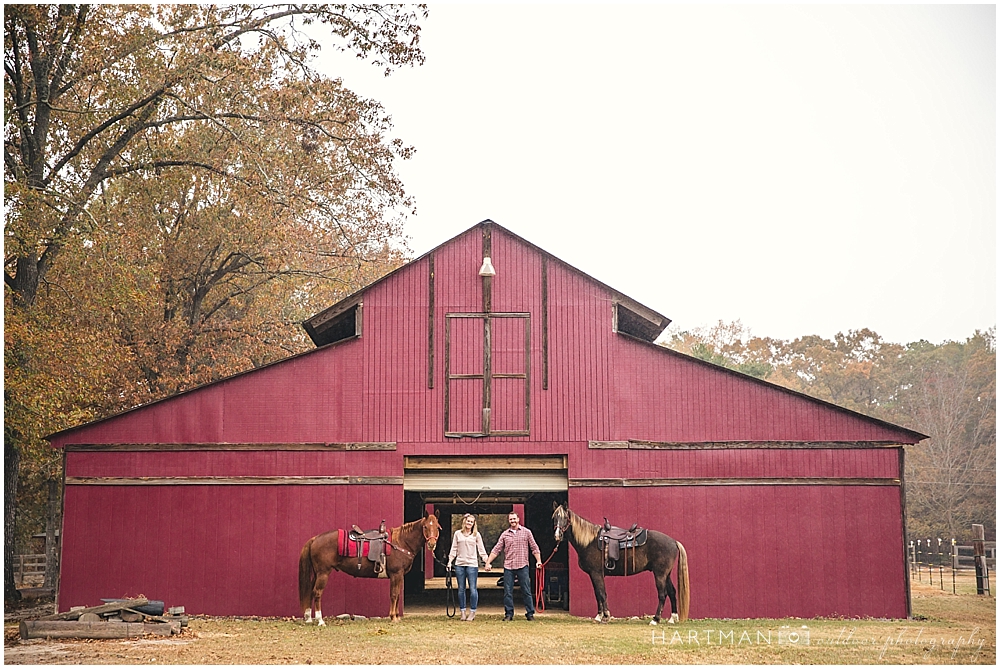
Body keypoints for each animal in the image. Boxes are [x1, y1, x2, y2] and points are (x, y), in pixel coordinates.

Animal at [294, 516, 440, 624]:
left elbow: (398, 595)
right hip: (323, 573)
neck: (401, 542)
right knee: (317, 593)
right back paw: (320, 621)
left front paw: (397, 616)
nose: (432, 544)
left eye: (437, 527)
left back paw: (309, 618)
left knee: (311, 592)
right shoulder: (396, 574)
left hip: (317, 574)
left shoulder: (400, 575)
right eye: (425, 527)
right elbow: (394, 595)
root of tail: (315, 539)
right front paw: (393, 617)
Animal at [556, 504, 688, 624]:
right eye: (554, 517)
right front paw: (599, 616)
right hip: (666, 575)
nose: (557, 535)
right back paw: (672, 618)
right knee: (672, 592)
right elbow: (597, 594)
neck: (589, 541)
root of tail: (673, 541)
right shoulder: (594, 575)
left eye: (565, 518)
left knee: (662, 594)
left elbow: (602, 593)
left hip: (660, 575)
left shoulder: (596, 573)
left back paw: (655, 619)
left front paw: (606, 617)